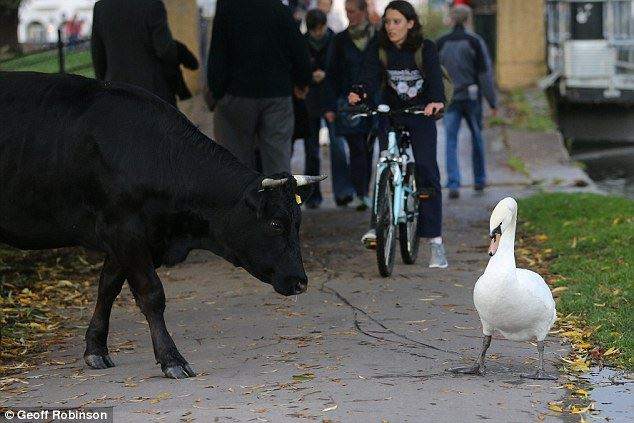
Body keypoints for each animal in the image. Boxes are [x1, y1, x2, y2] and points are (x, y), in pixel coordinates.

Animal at [0, 71, 324, 380]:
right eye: (276, 223)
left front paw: (95, 349)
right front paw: (172, 359)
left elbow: (107, 287)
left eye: (298, 222)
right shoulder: (125, 232)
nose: (301, 282)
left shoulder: (127, 240)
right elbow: (152, 294)